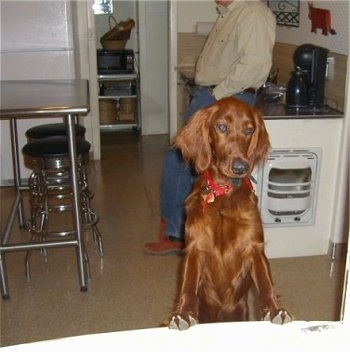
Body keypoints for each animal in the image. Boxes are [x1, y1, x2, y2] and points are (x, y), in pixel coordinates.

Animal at [168, 97, 292, 330]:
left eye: (249, 130)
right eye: (222, 127)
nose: (241, 167)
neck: (224, 194)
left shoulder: (254, 247)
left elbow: (265, 283)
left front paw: (274, 310)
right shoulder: (195, 248)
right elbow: (188, 286)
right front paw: (184, 314)